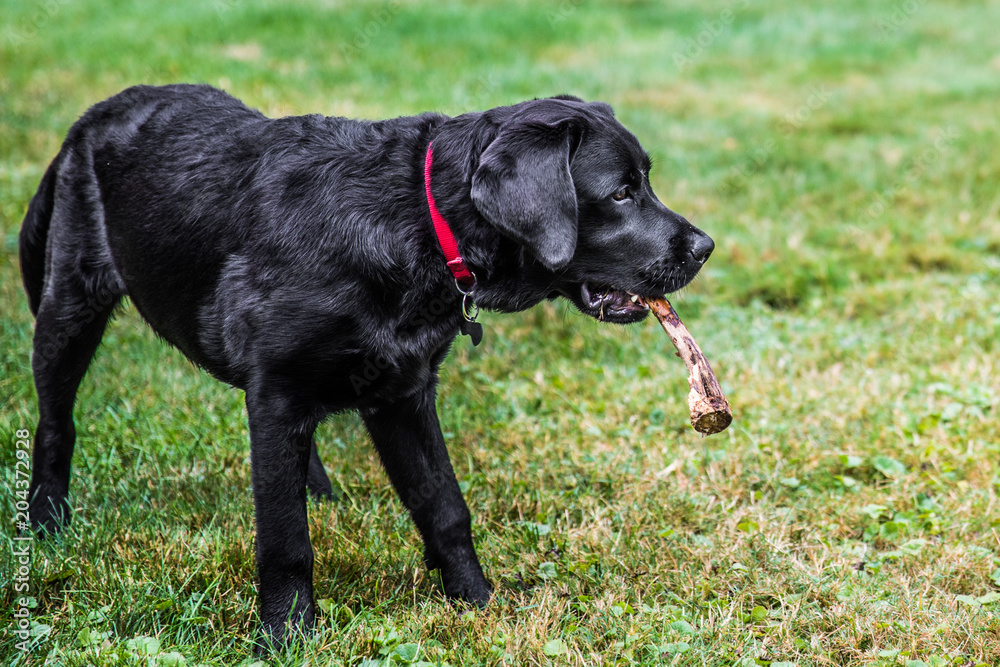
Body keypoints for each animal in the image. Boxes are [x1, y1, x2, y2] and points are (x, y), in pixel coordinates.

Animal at [19, 85, 716, 648]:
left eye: (645, 181)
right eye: (620, 193)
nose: (704, 247)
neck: (418, 220)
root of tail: (93, 115)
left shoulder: (402, 393)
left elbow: (445, 508)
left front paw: (478, 603)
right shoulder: (280, 390)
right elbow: (285, 543)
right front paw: (286, 638)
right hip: (70, 304)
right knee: (55, 421)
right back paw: (47, 521)